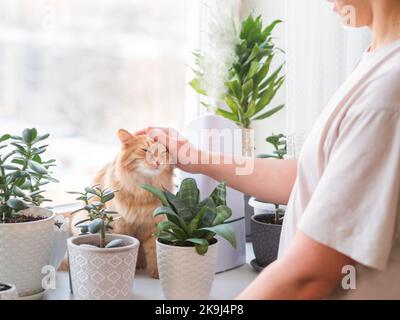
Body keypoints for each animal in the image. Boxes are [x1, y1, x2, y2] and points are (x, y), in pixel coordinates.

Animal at [71, 129, 173, 278]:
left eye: (163, 152)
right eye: (145, 150)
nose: (159, 162)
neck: (143, 192)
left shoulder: (152, 227)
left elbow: (154, 253)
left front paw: (157, 274)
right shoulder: (121, 225)